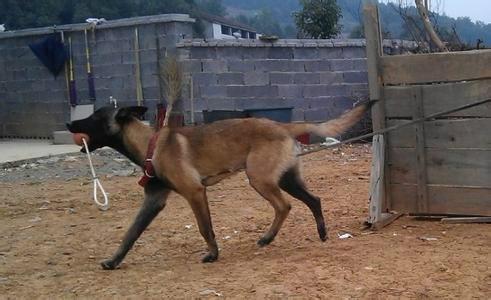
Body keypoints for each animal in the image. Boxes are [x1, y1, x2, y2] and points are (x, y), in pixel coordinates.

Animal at [67, 103, 368, 270]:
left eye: (94, 117)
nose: (70, 123)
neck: (152, 145)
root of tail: (283, 125)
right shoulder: (154, 200)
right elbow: (130, 233)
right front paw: (113, 261)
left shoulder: (195, 192)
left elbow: (205, 228)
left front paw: (212, 254)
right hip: (285, 178)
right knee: (313, 200)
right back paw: (320, 233)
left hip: (259, 179)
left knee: (285, 205)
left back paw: (268, 237)